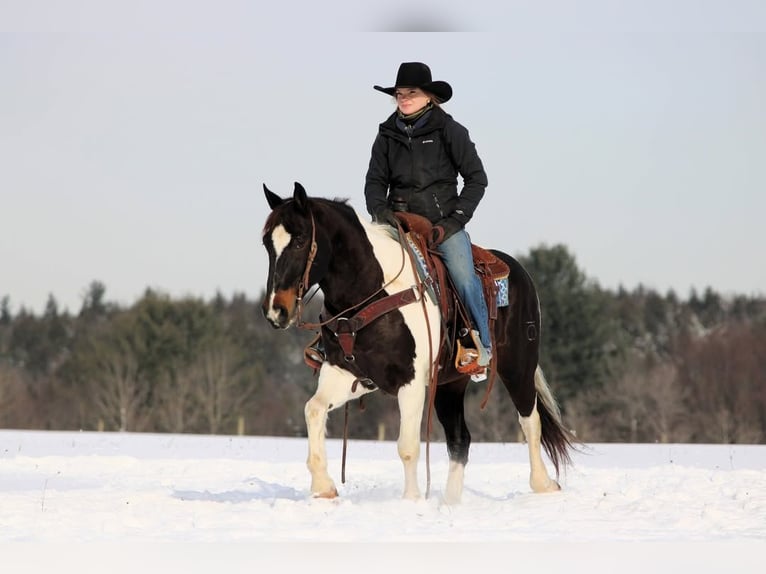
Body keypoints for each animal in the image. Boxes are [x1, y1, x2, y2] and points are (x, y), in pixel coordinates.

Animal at [260, 181, 576, 503]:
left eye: (300, 241)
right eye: (266, 244)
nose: (276, 311)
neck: (373, 290)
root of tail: (520, 273)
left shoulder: (410, 382)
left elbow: (408, 446)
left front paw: (411, 500)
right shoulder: (347, 374)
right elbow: (313, 409)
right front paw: (323, 487)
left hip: (518, 367)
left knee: (530, 421)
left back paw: (543, 484)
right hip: (450, 385)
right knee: (460, 438)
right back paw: (451, 502)